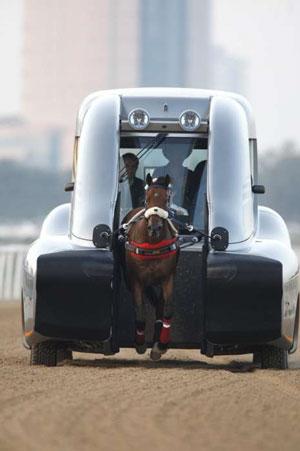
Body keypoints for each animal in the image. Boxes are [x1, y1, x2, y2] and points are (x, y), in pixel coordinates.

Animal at [121, 175, 178, 362]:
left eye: (166, 199)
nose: (155, 227)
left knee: (160, 305)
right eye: (147, 198)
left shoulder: (167, 278)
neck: (152, 244)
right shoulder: (136, 280)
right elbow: (139, 311)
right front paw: (139, 344)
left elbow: (167, 308)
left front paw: (160, 345)